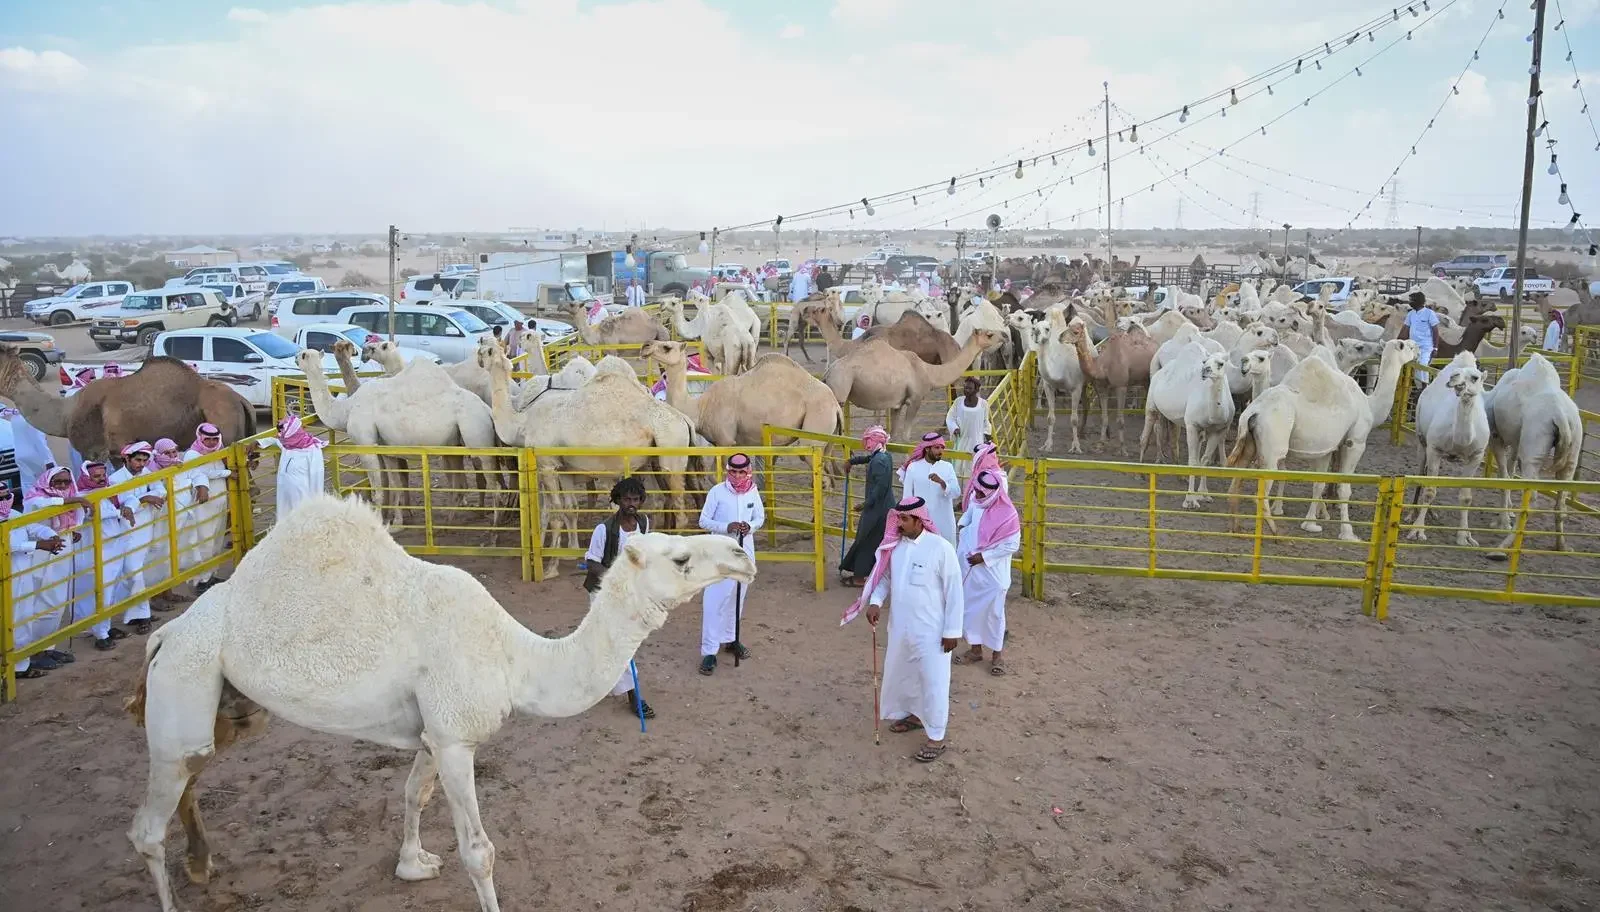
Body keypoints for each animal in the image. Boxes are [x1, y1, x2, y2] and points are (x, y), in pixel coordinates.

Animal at [126, 492, 755, 908]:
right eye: (680, 559)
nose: (742, 551)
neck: (512, 658)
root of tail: (164, 635)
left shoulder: (432, 729)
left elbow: (413, 793)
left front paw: (412, 865)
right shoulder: (456, 739)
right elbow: (479, 851)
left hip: (220, 702)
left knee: (193, 770)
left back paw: (202, 864)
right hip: (186, 676)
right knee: (148, 825)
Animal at [1408, 352, 1491, 544]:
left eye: (1475, 377)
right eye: (1456, 373)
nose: (1453, 378)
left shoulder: (1476, 455)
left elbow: (1466, 497)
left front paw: (1464, 536)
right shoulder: (1434, 448)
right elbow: (1429, 491)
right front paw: (1418, 530)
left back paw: (1432, 513)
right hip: (1421, 440)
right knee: (1421, 473)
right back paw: (1412, 513)